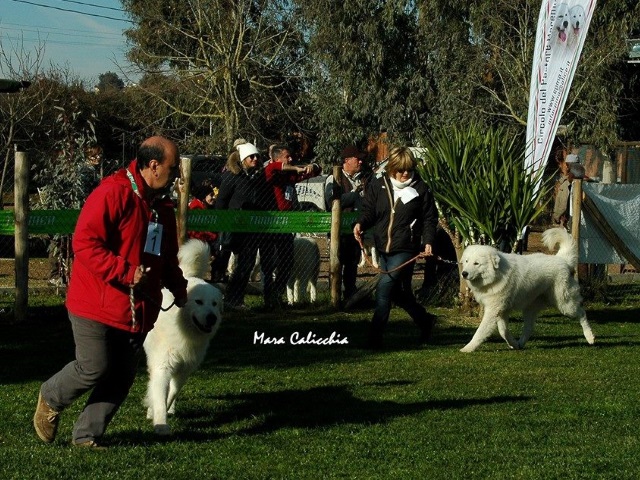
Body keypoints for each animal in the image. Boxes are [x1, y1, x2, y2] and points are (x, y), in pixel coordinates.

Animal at [144, 240, 224, 436]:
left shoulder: (184, 370)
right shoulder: (163, 367)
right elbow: (159, 396)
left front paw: (165, 410)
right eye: (199, 302)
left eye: (214, 304)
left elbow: (171, 393)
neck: (183, 331)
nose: (212, 317)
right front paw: (160, 423)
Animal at [460, 229, 596, 352]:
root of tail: (563, 260)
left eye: (476, 263)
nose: (464, 273)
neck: (496, 274)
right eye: (466, 261)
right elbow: (503, 331)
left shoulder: (493, 311)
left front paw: (467, 348)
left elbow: (480, 332)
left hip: (565, 305)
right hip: (530, 308)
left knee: (582, 313)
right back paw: (520, 343)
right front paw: (513, 344)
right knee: (529, 329)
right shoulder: (501, 311)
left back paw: (590, 337)